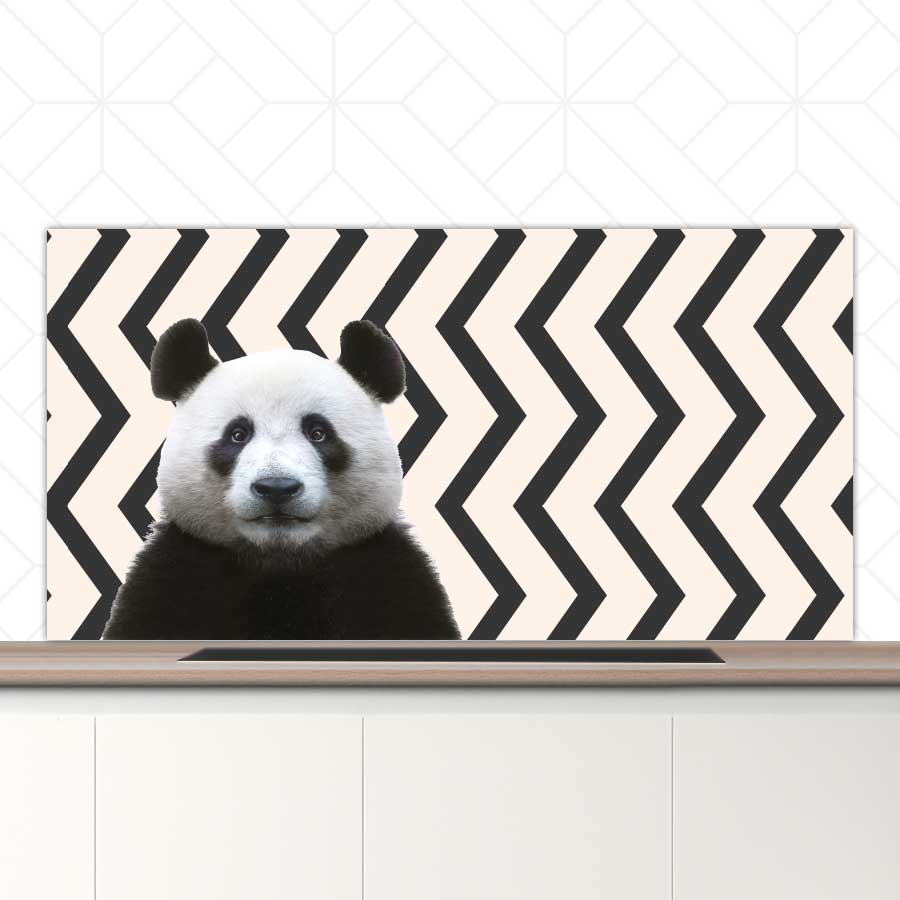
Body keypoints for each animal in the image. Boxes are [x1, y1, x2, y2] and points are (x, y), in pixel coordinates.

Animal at [102, 318, 460, 640]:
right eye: (237, 434)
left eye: (318, 432)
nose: (277, 488)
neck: (280, 564)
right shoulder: (175, 574)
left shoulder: (385, 574)